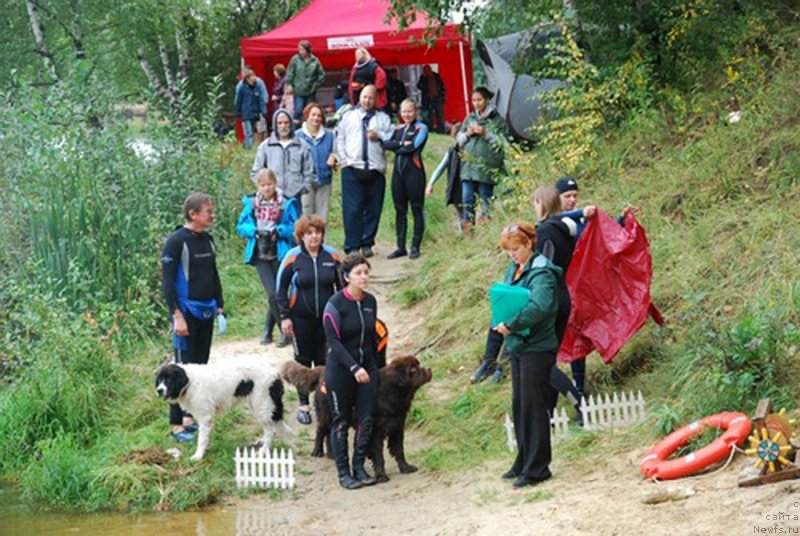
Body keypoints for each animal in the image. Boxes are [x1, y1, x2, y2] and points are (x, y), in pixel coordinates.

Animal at [155, 356, 286, 460]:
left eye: (169, 379)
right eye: (160, 380)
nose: (159, 390)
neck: (190, 383)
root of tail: (275, 373)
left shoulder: (205, 416)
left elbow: (201, 439)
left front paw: (198, 456)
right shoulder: (208, 417)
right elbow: (207, 436)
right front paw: (205, 450)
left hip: (262, 406)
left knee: (270, 430)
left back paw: (263, 451)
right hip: (257, 406)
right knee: (269, 428)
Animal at [282, 356, 432, 482]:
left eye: (418, 365)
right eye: (413, 369)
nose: (429, 369)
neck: (391, 393)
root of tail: (321, 370)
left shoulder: (397, 427)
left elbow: (399, 450)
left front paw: (406, 467)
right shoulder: (375, 432)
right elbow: (379, 456)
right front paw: (381, 475)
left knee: (330, 433)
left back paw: (332, 454)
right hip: (326, 414)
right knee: (321, 431)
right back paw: (317, 451)